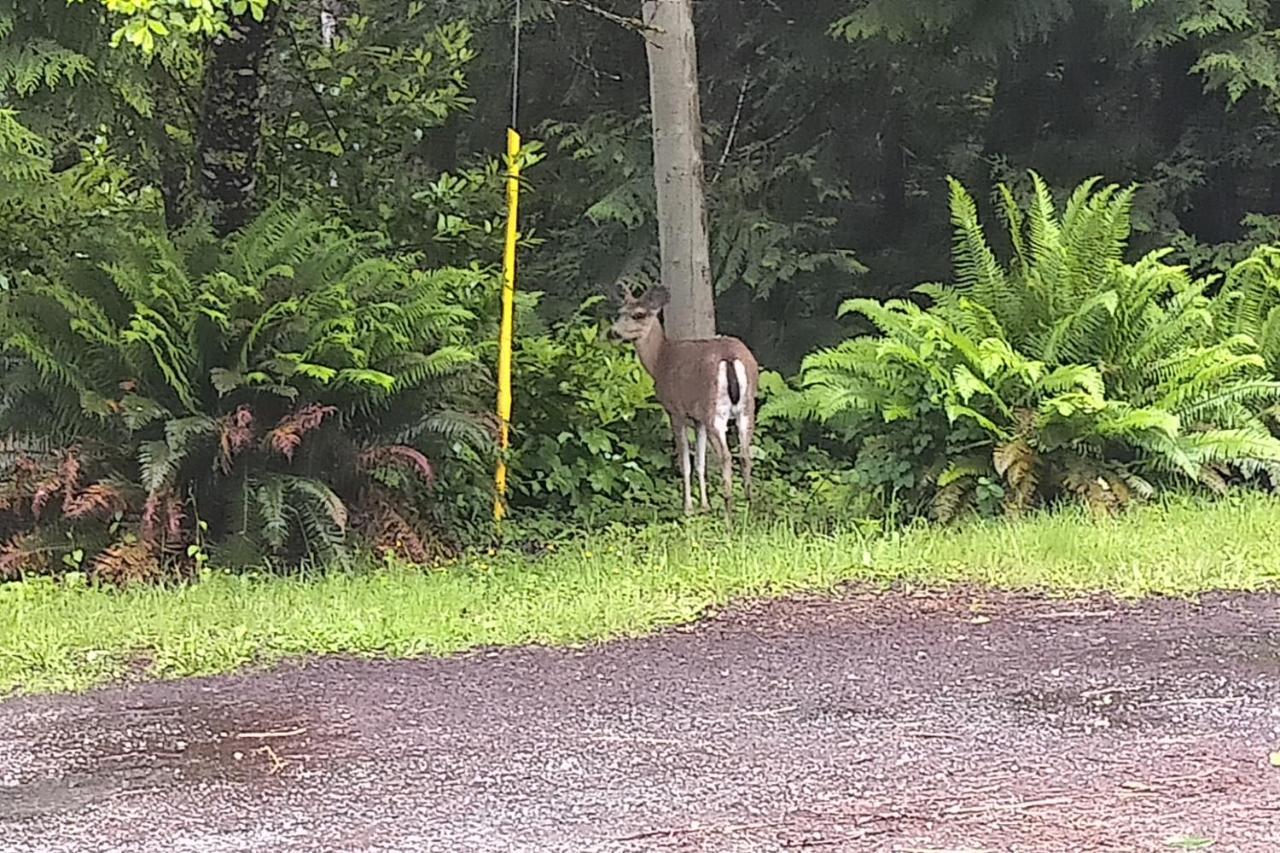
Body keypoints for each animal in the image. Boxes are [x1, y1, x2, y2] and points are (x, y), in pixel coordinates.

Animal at [604, 284, 752, 517]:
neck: (660, 360)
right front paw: (705, 505)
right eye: (620, 313)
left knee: (727, 456)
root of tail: (729, 357)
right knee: (746, 454)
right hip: (746, 407)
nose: (613, 333)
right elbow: (700, 461)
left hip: (714, 411)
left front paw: (688, 508)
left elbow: (686, 462)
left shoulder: (675, 411)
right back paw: (749, 506)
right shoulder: (698, 419)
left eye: (639, 314)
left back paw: (729, 511)